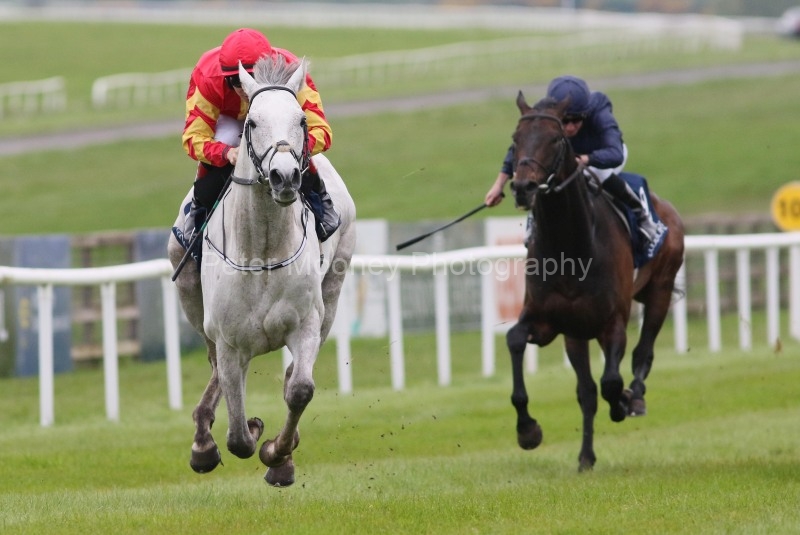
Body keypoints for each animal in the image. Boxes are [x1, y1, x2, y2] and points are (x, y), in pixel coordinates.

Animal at [506, 93, 680, 474]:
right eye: (515, 138)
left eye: (555, 139)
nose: (523, 186)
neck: (570, 247)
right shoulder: (546, 321)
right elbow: (515, 340)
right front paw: (527, 430)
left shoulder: (612, 321)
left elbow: (611, 382)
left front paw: (623, 401)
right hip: (576, 333)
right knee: (586, 392)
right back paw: (586, 457)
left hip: (660, 289)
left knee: (642, 353)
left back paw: (635, 397)